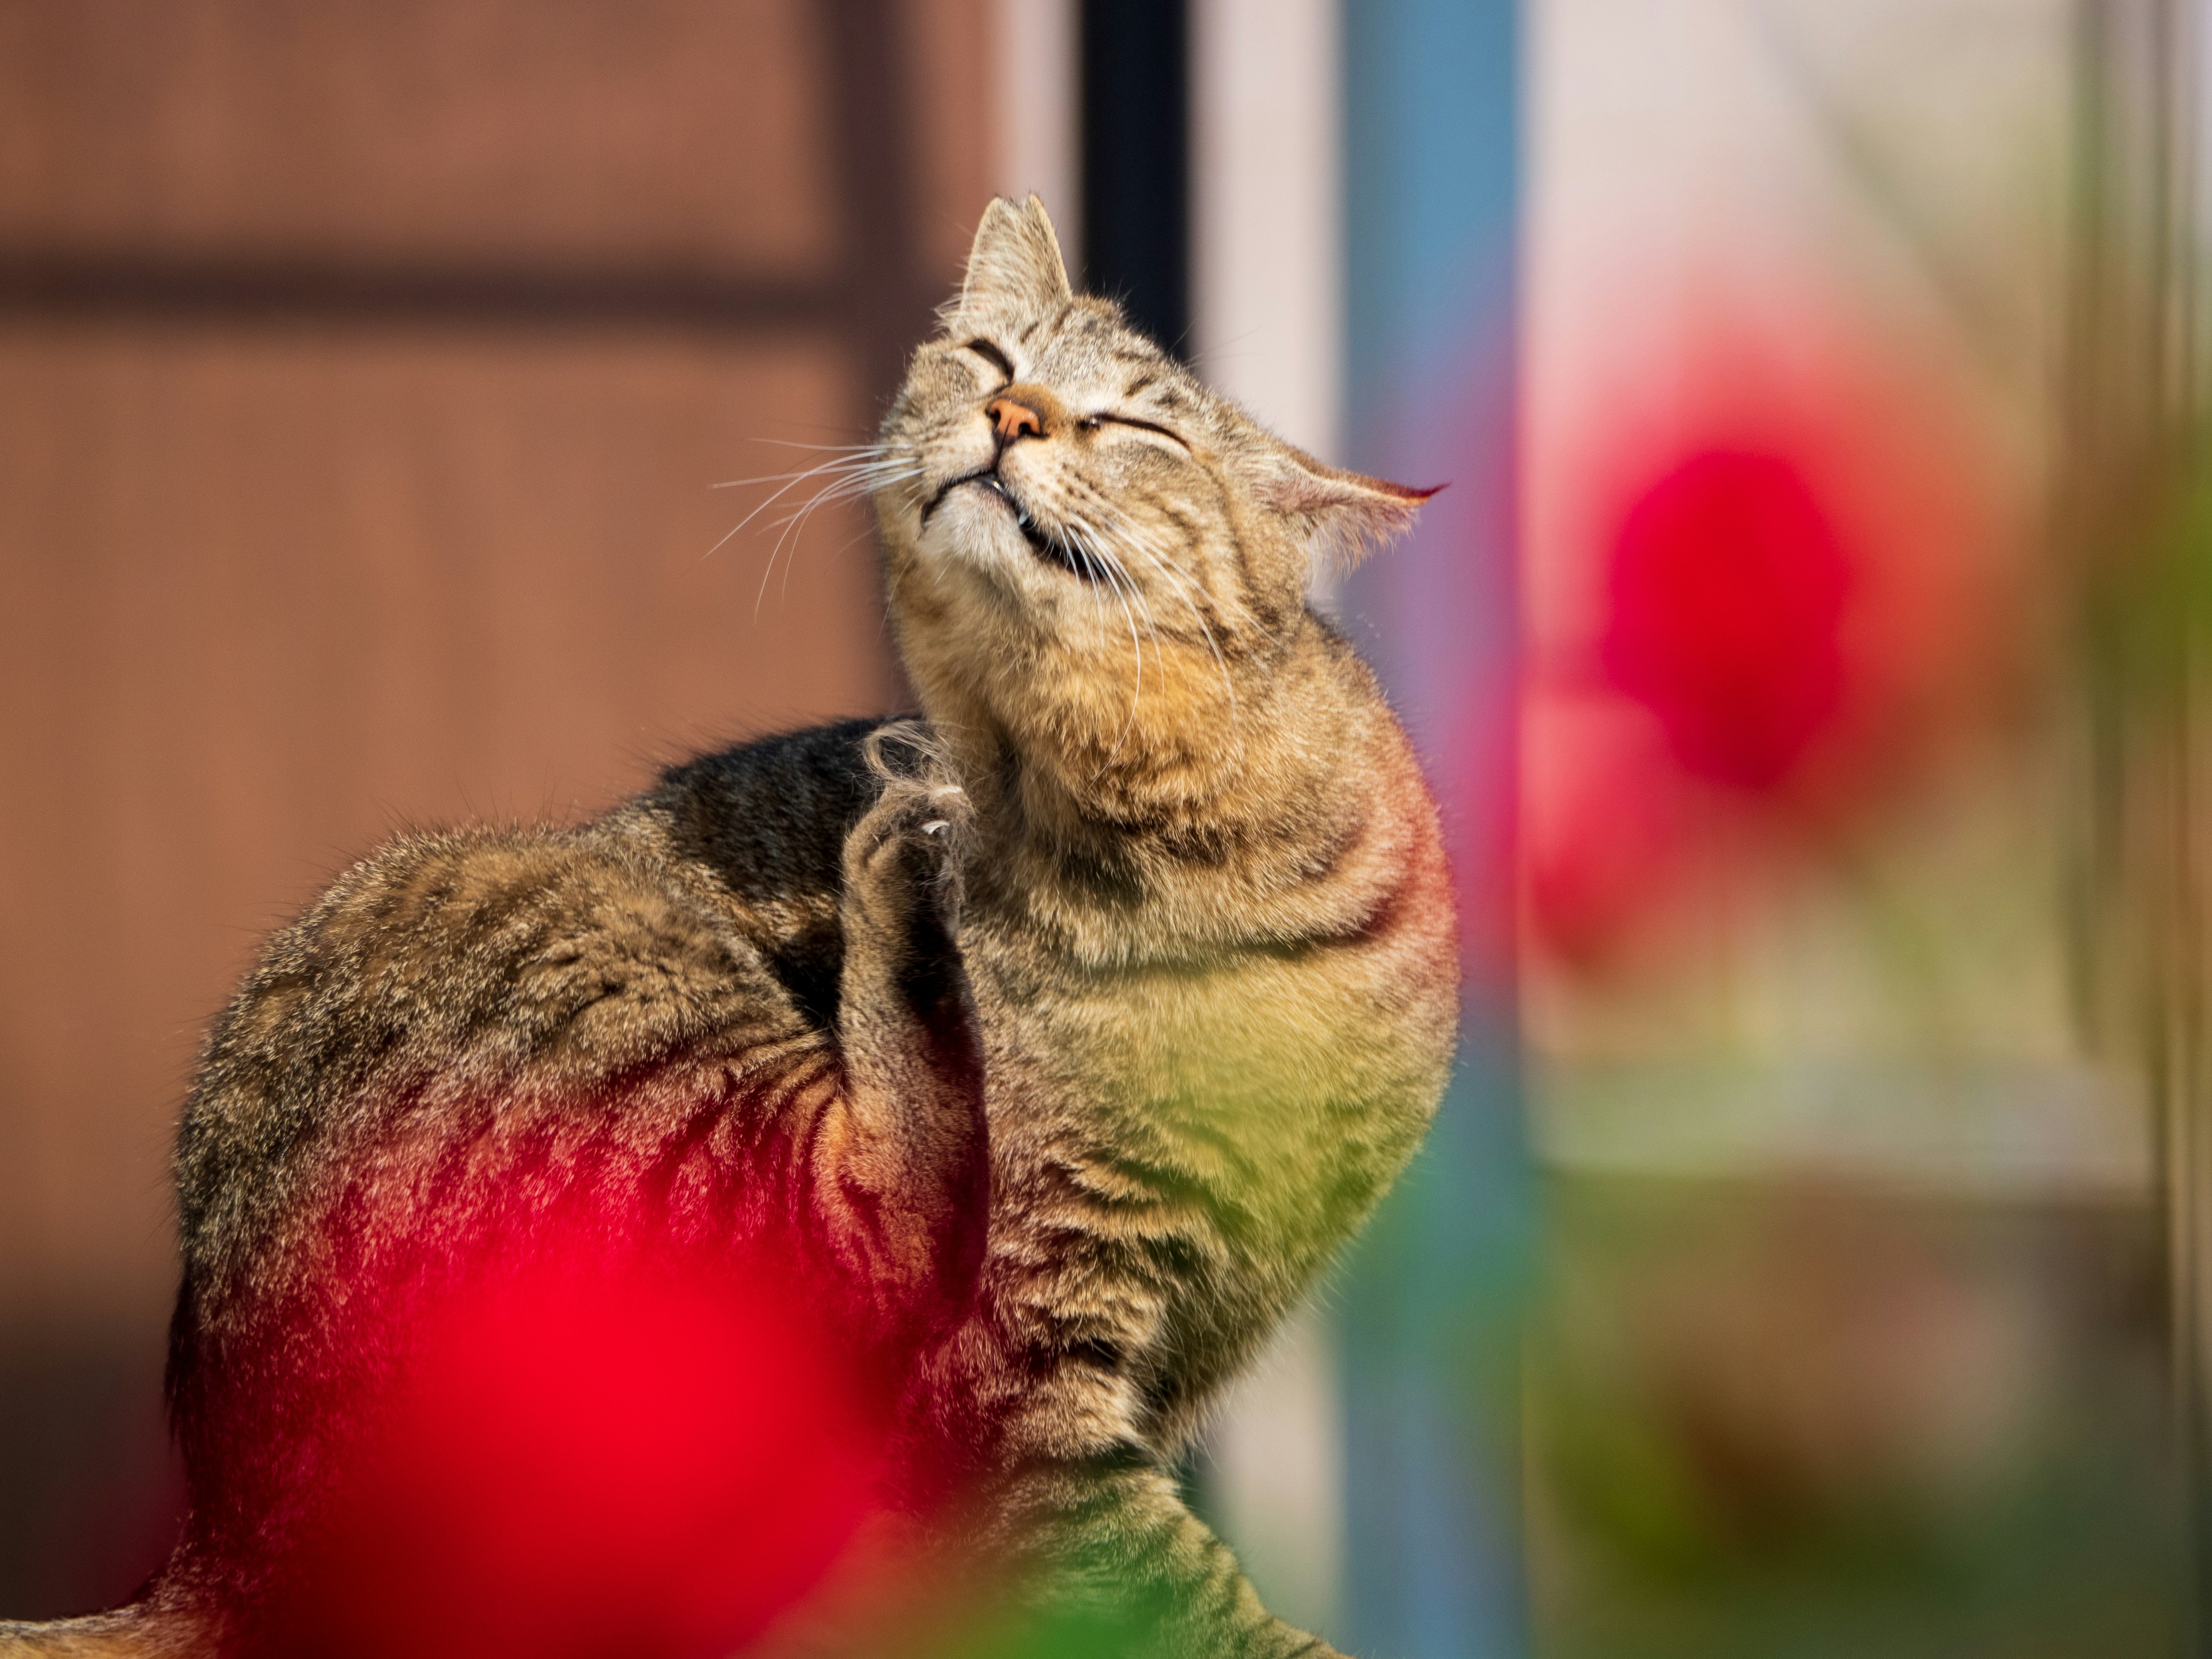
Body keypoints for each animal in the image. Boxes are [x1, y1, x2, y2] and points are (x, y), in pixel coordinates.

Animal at [4, 198, 1468, 1659]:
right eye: (992, 357)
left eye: (1135, 426)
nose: (1014, 413)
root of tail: (216, 1548)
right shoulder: (1018, 1371)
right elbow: (1178, 1585)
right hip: (621, 1043)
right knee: (867, 1201)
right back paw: (899, 875)